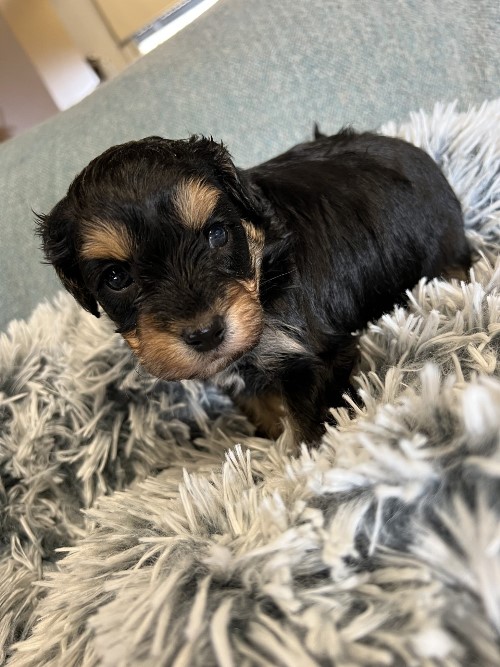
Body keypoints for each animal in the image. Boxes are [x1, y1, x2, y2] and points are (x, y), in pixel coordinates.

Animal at [37, 129, 470, 444]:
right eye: (116, 278)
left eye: (217, 235)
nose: (205, 333)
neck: (265, 274)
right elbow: (262, 404)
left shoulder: (318, 355)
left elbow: (307, 426)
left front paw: (298, 473)